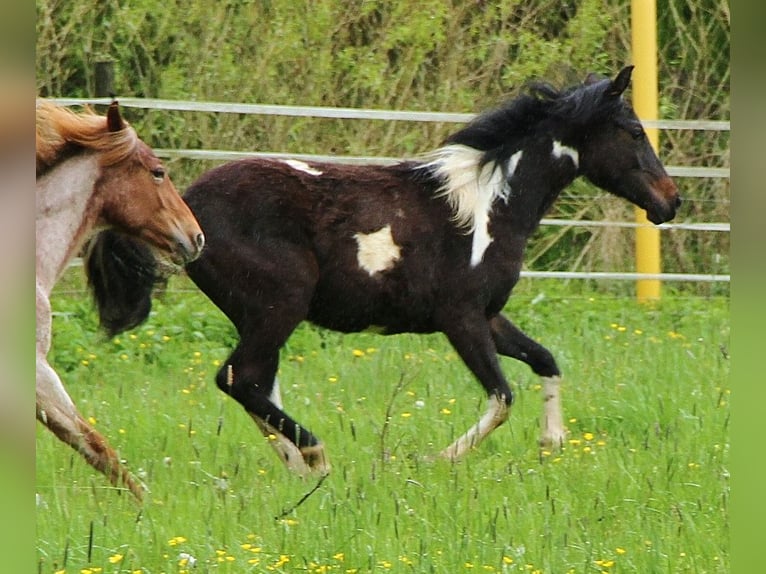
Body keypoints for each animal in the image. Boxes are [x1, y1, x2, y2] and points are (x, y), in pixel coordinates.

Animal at [87, 67, 680, 480]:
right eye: (632, 131)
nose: (670, 202)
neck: (488, 205)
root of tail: (187, 210)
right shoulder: (461, 319)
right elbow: (502, 398)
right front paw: (435, 460)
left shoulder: (489, 316)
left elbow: (546, 362)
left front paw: (551, 442)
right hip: (281, 305)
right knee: (240, 377)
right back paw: (316, 456)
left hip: (260, 316)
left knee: (254, 383)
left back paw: (299, 466)